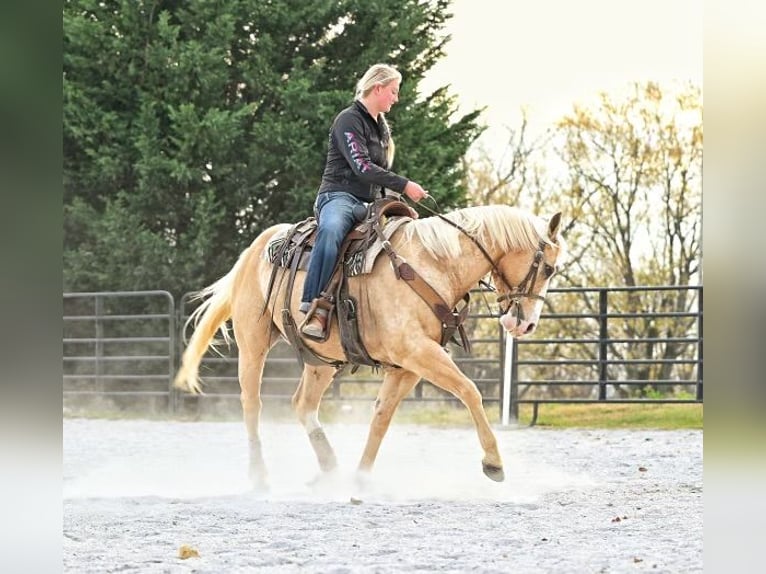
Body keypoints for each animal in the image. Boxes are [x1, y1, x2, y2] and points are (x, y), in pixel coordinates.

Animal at [174, 204, 566, 489]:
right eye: (549, 268)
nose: (525, 324)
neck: (432, 265)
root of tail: (259, 246)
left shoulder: (409, 366)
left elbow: (381, 416)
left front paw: (361, 478)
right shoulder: (418, 352)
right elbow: (470, 391)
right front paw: (493, 463)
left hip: (321, 359)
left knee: (303, 404)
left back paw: (330, 467)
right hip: (253, 343)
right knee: (252, 405)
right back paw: (259, 476)